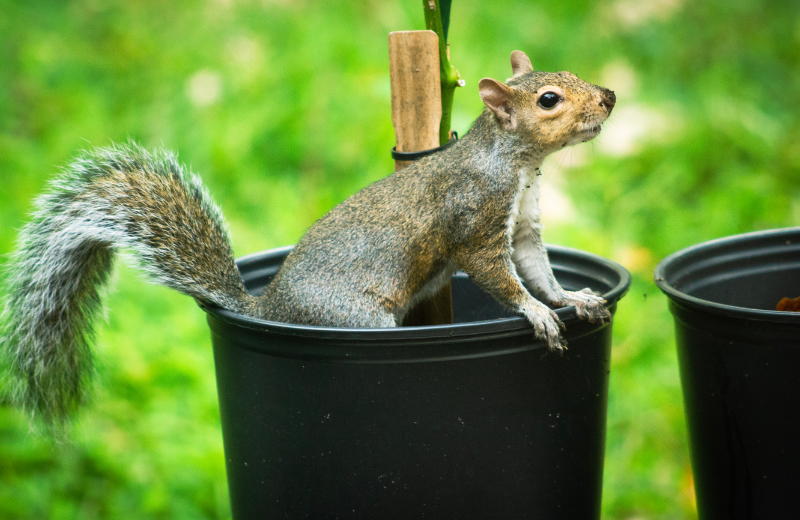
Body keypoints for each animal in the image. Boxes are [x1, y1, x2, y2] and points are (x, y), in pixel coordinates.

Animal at [1, 50, 612, 424]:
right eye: (549, 100)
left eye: (570, 76)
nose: (608, 95)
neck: (518, 165)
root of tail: (267, 306)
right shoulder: (475, 223)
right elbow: (501, 279)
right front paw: (536, 314)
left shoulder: (524, 228)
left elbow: (538, 271)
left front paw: (571, 298)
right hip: (356, 318)